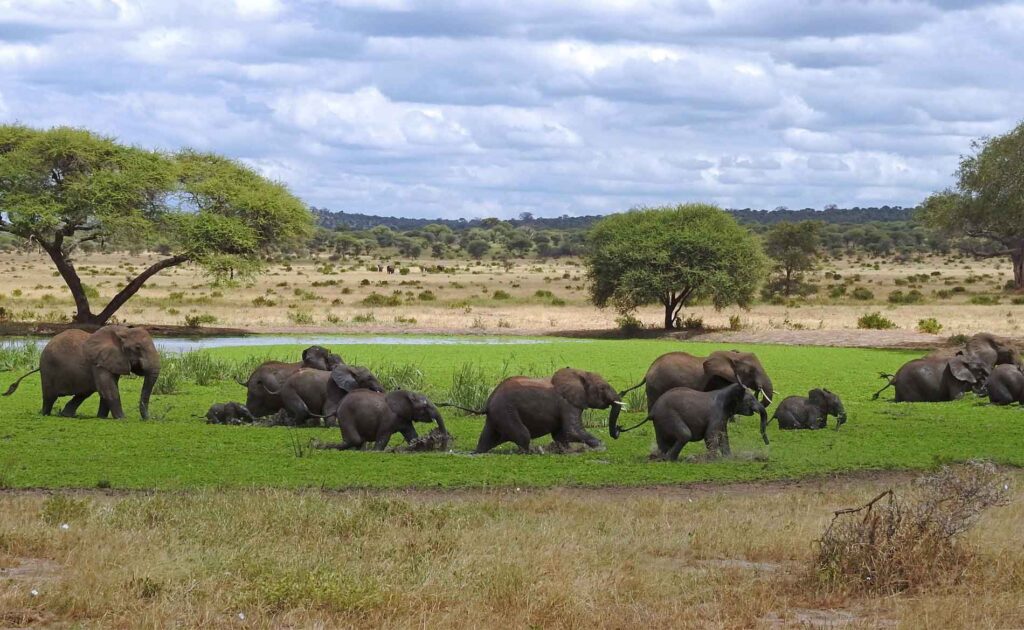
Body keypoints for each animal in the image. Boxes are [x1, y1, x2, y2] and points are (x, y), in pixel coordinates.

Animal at [4, 325, 160, 419]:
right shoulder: (97, 363)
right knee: (50, 397)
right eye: (138, 348)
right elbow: (109, 390)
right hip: (48, 369)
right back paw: (45, 414)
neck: (124, 331)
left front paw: (101, 418)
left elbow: (107, 390)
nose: (150, 419)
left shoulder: (111, 361)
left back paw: (66, 414)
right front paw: (122, 419)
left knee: (83, 392)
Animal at [474, 367, 622, 453]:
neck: (579, 373)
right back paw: (532, 452)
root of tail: (488, 403)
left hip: (497, 415)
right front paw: (601, 447)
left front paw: (566, 451)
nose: (618, 430)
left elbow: (560, 434)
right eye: (602, 388)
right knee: (523, 434)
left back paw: (477, 452)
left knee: (486, 439)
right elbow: (572, 430)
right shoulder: (567, 403)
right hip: (506, 411)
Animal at [623, 350, 774, 412]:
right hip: (656, 384)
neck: (732, 356)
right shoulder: (717, 379)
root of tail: (648, 370)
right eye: (751, 371)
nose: (758, 390)